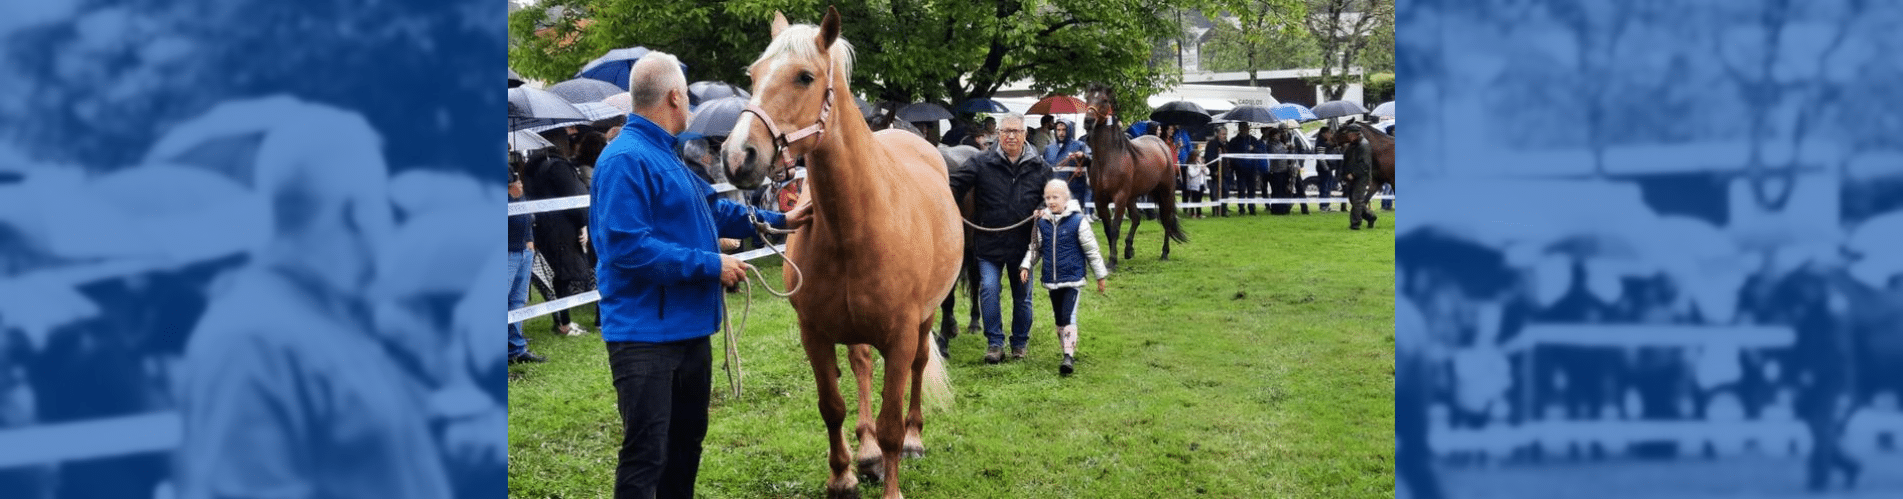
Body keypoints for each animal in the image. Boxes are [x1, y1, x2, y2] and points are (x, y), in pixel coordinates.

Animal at [722, 9, 960, 499]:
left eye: (805, 76)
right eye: (753, 75)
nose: (737, 157)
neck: (855, 226)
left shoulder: (901, 336)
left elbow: (891, 421)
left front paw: (892, 480)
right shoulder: (814, 333)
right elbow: (832, 406)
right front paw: (842, 477)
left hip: (925, 319)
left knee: (919, 368)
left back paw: (913, 439)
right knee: (862, 365)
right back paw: (866, 454)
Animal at [1081, 84, 1188, 269]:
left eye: (1104, 100)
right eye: (1087, 98)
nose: (1088, 121)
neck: (1108, 159)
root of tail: (1162, 145)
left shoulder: (1119, 198)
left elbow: (1115, 228)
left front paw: (1112, 261)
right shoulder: (1100, 200)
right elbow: (1108, 229)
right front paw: (1113, 257)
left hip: (1165, 193)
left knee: (1166, 220)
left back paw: (1164, 253)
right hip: (1133, 196)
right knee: (1137, 218)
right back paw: (1129, 249)